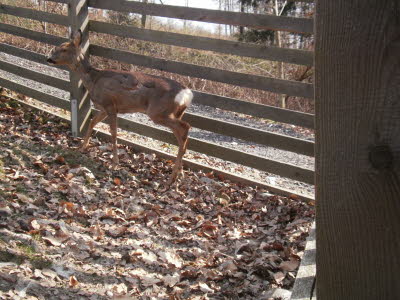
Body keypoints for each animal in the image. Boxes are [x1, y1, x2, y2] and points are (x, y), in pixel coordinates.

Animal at [47, 31, 194, 185]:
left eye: (63, 49)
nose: (49, 59)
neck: (93, 80)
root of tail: (187, 94)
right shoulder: (103, 108)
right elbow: (92, 122)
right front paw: (82, 147)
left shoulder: (110, 105)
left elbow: (113, 132)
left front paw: (115, 163)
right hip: (174, 113)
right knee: (182, 135)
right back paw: (179, 173)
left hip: (158, 112)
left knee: (185, 127)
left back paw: (172, 178)